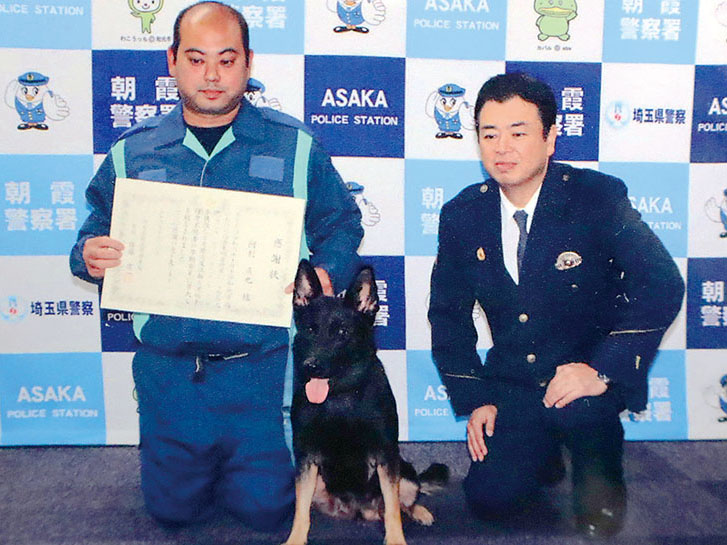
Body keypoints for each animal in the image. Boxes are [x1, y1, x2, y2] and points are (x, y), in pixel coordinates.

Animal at [282, 260, 450, 544]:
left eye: (342, 333)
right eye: (310, 330)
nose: (310, 366)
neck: (340, 395)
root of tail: (361, 510)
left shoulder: (385, 455)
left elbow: (393, 509)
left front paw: (395, 539)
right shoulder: (306, 458)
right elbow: (300, 511)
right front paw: (295, 539)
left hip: (404, 473)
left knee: (402, 503)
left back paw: (419, 512)